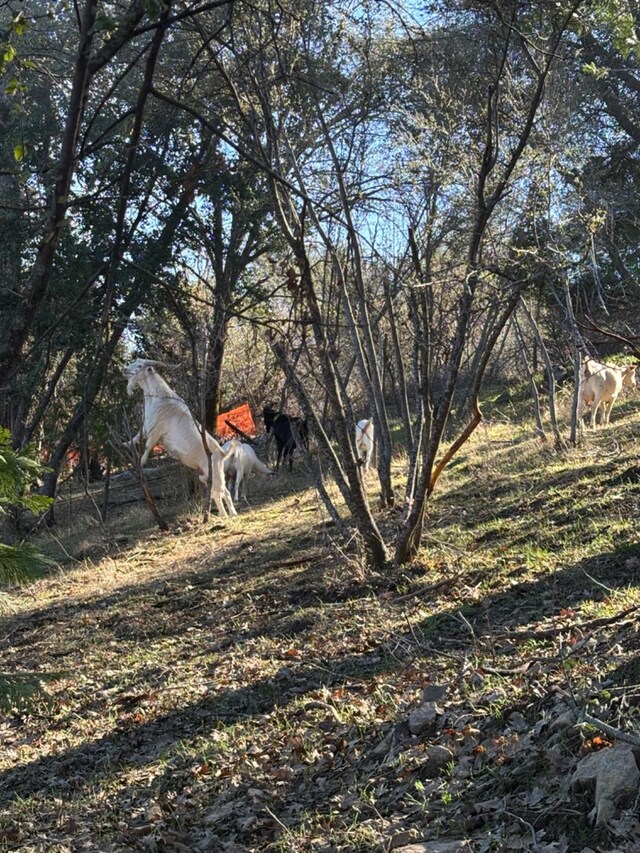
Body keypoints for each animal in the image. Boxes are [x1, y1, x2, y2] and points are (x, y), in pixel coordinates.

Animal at [123, 356, 238, 516]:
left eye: (140, 366)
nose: (125, 370)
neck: (159, 398)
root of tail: (222, 453)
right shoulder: (146, 427)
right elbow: (136, 436)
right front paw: (125, 444)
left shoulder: (156, 430)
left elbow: (147, 445)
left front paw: (141, 461)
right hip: (205, 475)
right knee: (216, 494)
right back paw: (223, 515)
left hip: (215, 473)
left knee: (224, 492)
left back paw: (232, 514)